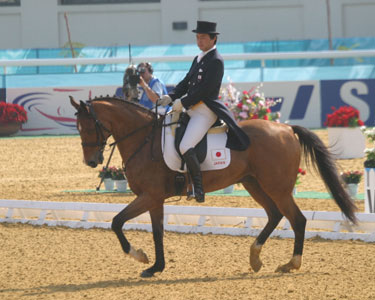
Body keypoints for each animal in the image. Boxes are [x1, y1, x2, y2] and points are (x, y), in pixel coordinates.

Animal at [70, 95, 358, 278]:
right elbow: (157, 232)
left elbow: (117, 222)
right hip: (254, 183)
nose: (91, 161)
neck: (144, 138)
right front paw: (155, 267)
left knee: (297, 219)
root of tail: (286, 129)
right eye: (78, 127)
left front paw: (140, 256)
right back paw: (255, 258)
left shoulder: (149, 196)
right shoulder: (154, 198)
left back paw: (290, 265)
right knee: (275, 215)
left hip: (277, 187)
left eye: (90, 126)